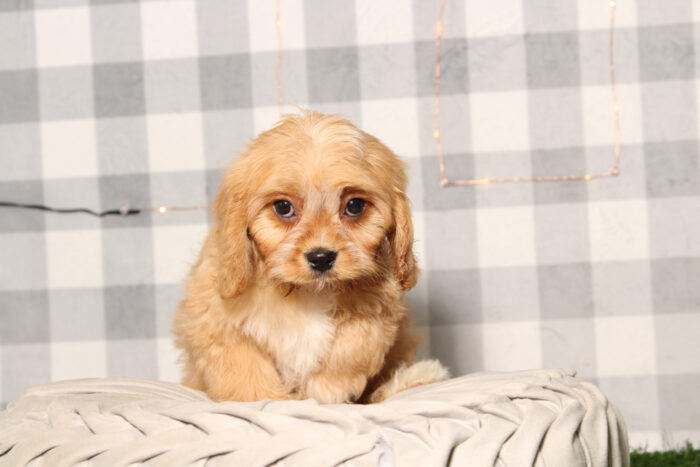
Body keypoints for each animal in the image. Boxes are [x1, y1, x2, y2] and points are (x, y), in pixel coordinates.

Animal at [175, 111, 448, 404]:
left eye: (355, 206)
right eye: (283, 207)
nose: (321, 257)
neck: (308, 292)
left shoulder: (379, 309)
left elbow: (354, 344)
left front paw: (326, 388)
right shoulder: (215, 319)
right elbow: (248, 372)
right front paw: (277, 399)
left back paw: (415, 378)